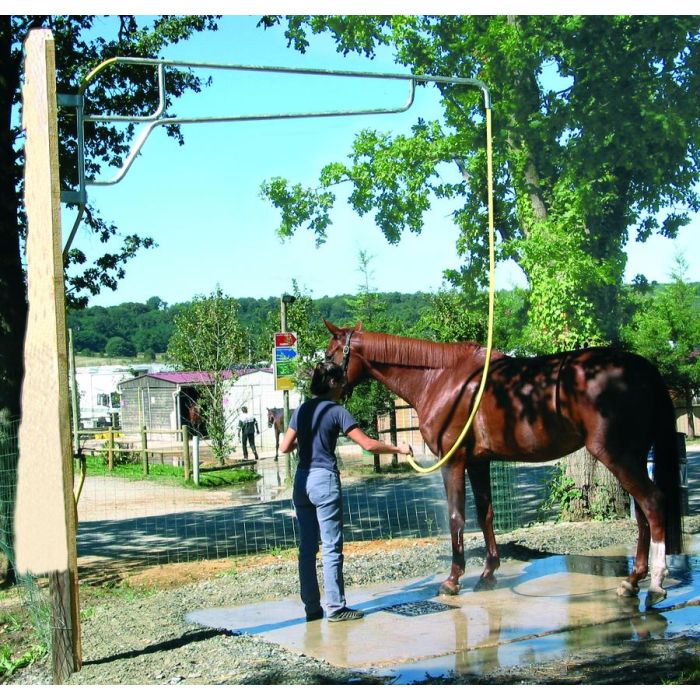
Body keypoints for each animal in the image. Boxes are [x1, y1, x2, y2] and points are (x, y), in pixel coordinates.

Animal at [326, 322, 684, 608]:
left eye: (328, 359)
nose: (321, 392)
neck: (442, 379)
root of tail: (643, 368)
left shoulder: (453, 461)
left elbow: (457, 518)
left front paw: (453, 580)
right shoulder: (478, 462)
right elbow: (486, 514)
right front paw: (488, 574)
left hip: (617, 455)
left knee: (653, 503)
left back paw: (655, 584)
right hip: (631, 457)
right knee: (642, 514)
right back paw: (632, 581)